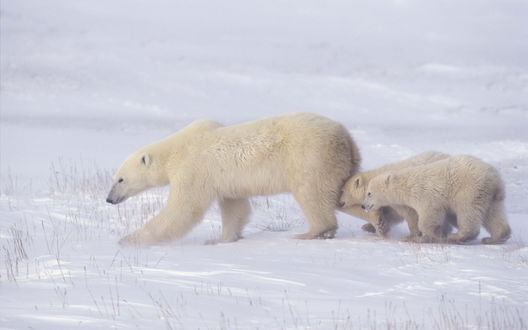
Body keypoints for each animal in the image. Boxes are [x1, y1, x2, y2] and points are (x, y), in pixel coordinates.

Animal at [107, 113, 364, 245]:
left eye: (120, 179)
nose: (109, 199)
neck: (175, 150)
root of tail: (345, 137)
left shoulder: (192, 170)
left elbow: (183, 209)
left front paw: (128, 239)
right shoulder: (224, 181)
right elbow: (235, 208)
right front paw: (222, 239)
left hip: (310, 157)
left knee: (312, 193)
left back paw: (311, 232)